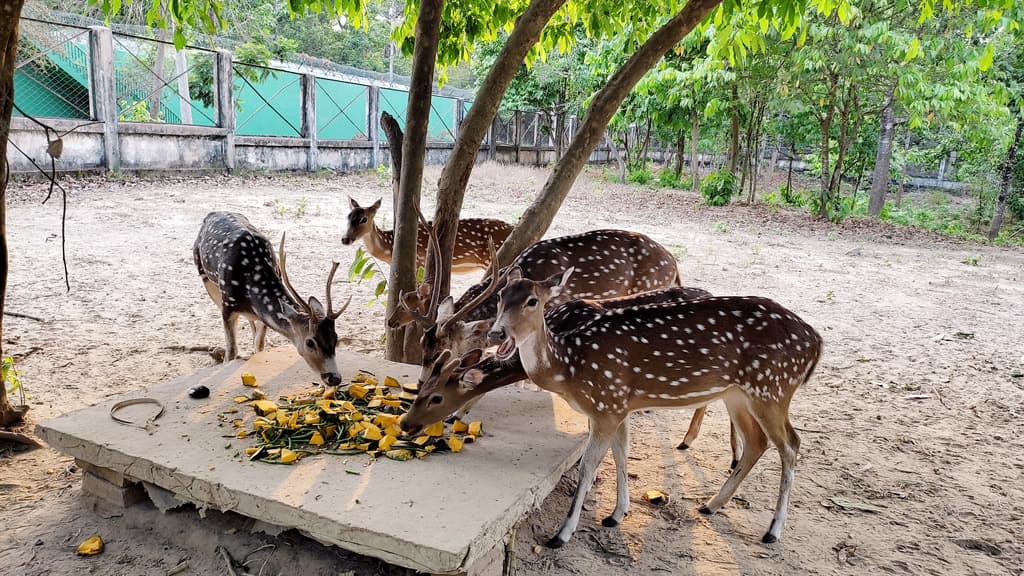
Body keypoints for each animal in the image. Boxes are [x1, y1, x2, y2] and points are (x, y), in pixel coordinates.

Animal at [194, 208, 352, 383]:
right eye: (310, 342)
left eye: (335, 338)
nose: (335, 378)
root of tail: (213, 213)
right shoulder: (227, 306)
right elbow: (231, 353)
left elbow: (259, 345)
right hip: (205, 276)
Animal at [342, 196, 512, 272]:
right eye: (348, 216)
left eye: (364, 219)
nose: (345, 239)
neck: (390, 248)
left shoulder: (419, 263)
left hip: (491, 260)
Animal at [479, 266, 823, 545]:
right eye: (501, 297)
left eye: (532, 301)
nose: (496, 333)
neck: (569, 367)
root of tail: (816, 342)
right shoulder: (618, 406)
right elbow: (621, 454)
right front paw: (616, 514)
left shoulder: (606, 403)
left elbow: (589, 466)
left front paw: (562, 535)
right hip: (738, 394)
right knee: (757, 442)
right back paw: (710, 505)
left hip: (773, 387)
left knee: (791, 444)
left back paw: (773, 530)